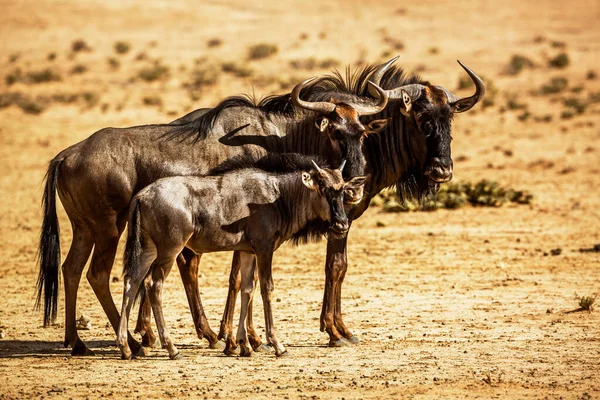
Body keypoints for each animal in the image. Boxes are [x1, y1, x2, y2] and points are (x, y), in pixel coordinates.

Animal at [118, 154, 366, 360]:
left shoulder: (248, 252)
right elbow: (267, 288)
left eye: (342, 190)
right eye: (322, 187)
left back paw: (126, 348)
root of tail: (141, 197)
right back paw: (171, 348)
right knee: (153, 285)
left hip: (147, 250)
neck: (277, 196)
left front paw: (243, 345)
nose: (341, 225)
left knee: (132, 282)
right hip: (169, 251)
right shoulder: (265, 249)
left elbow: (247, 288)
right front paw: (277, 344)